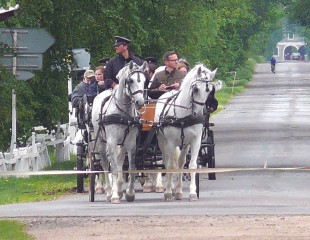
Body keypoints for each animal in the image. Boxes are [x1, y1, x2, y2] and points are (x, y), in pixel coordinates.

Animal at [91, 60, 147, 202]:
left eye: (144, 80)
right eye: (131, 80)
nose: (140, 102)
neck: (122, 112)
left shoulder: (131, 143)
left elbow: (131, 167)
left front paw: (129, 193)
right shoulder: (111, 141)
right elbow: (114, 168)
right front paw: (115, 195)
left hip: (122, 144)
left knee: (119, 159)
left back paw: (120, 188)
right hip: (101, 142)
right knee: (106, 163)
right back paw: (109, 191)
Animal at [154, 63, 217, 201]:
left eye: (209, 90)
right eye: (196, 89)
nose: (199, 114)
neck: (183, 116)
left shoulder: (195, 141)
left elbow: (192, 165)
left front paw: (193, 193)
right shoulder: (170, 143)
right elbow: (170, 166)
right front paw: (168, 192)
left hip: (184, 145)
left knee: (181, 163)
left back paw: (177, 190)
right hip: (162, 142)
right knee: (166, 161)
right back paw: (169, 188)